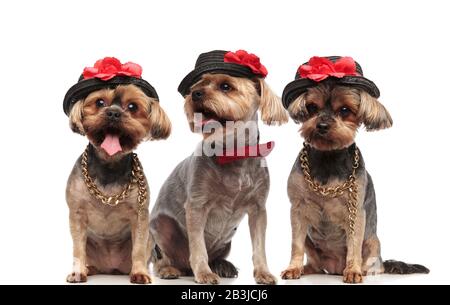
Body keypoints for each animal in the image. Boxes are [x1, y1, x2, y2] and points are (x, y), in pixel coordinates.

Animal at [61, 57, 171, 282]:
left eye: (132, 106)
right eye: (99, 103)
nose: (113, 113)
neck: (109, 166)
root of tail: (110, 267)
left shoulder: (140, 217)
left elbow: (138, 249)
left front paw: (139, 273)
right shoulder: (76, 214)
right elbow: (77, 248)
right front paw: (77, 271)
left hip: (150, 239)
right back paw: (88, 268)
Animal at [149, 48, 286, 284]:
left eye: (226, 86)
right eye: (196, 87)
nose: (195, 94)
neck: (232, 153)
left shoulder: (259, 209)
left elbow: (259, 247)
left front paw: (263, 273)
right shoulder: (196, 207)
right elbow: (198, 247)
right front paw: (203, 273)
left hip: (226, 243)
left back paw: (223, 265)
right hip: (162, 227)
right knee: (162, 256)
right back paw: (169, 269)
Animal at [280, 55, 428, 282]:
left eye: (344, 110)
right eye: (312, 107)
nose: (322, 125)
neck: (328, 157)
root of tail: (333, 267)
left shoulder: (356, 212)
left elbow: (354, 245)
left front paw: (353, 270)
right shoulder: (297, 210)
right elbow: (295, 244)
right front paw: (293, 267)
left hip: (373, 242)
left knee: (372, 260)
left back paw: (363, 270)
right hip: (310, 241)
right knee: (314, 261)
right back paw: (306, 268)